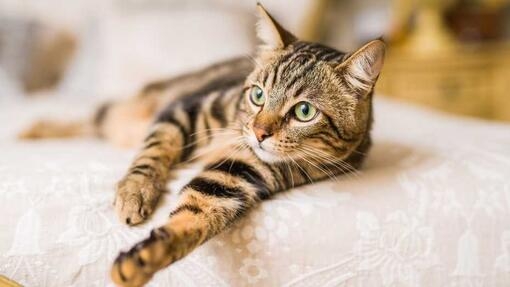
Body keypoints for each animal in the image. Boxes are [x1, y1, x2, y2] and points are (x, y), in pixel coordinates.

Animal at [18, 3, 386, 286]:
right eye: (257, 95)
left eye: (304, 112)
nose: (258, 133)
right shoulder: (183, 112)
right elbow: (153, 153)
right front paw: (135, 192)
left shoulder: (234, 176)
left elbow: (193, 216)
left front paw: (145, 258)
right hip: (139, 107)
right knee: (96, 117)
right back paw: (33, 131)